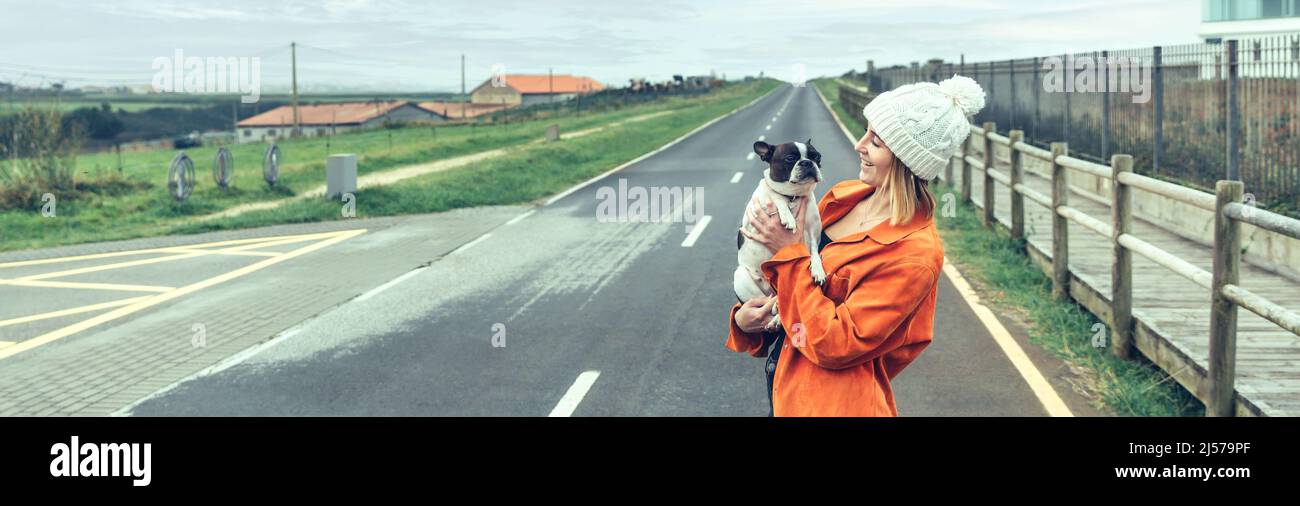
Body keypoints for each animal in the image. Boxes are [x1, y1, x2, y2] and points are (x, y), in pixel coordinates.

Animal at [733, 139, 821, 331]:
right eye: (789, 158)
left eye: (817, 156)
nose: (807, 162)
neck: (793, 197)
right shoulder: (751, 221)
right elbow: (775, 196)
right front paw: (787, 215)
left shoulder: (813, 232)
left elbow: (814, 252)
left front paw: (818, 270)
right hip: (741, 277)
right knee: (766, 299)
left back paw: (778, 317)